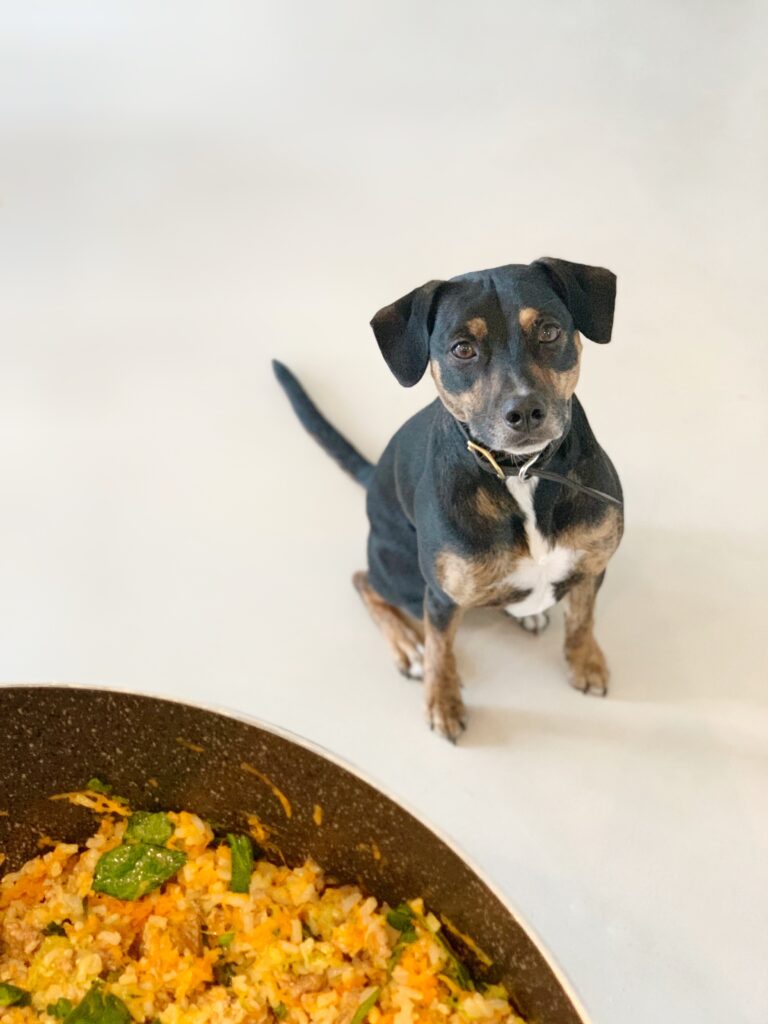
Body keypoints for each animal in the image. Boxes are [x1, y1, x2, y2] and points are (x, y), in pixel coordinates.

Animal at [274, 254, 622, 737]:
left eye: (550, 331)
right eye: (462, 349)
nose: (525, 411)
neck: (521, 474)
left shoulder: (592, 564)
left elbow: (583, 618)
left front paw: (585, 662)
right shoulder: (439, 596)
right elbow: (442, 650)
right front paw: (442, 703)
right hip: (401, 571)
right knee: (364, 580)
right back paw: (407, 644)